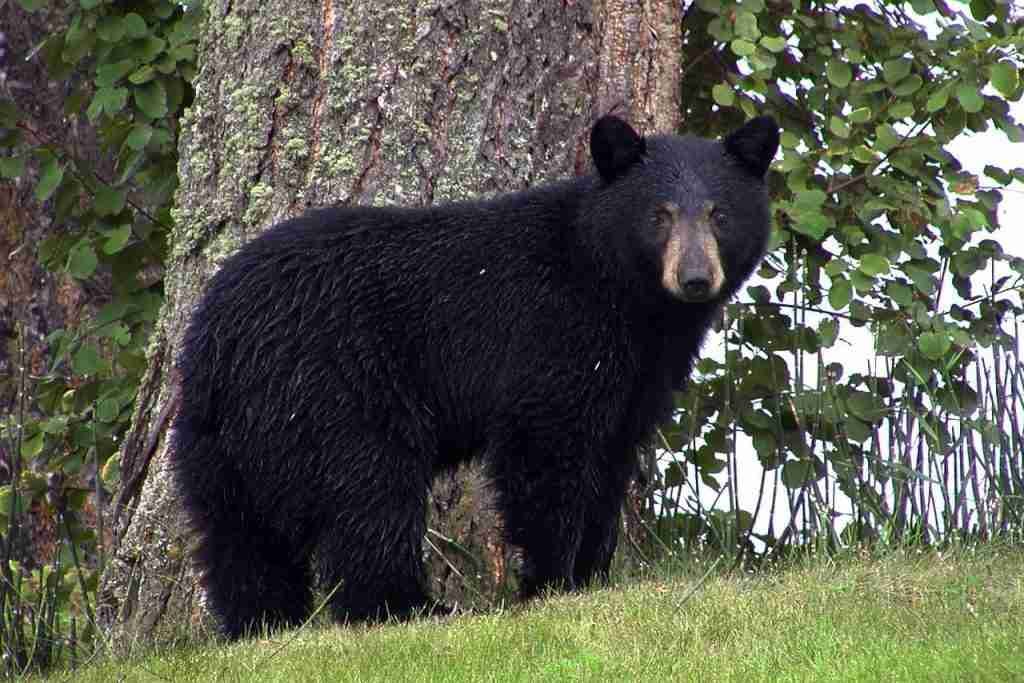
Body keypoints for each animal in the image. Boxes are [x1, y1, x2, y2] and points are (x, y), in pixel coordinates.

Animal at [172, 113, 774, 643]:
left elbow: (611, 459)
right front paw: (551, 583)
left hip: (219, 436)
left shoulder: (639, 376)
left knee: (239, 534)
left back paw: (263, 623)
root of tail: (220, 335)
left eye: (720, 214)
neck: (626, 296)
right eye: (659, 214)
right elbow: (546, 450)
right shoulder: (554, 334)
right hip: (334, 389)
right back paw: (409, 607)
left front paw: (592, 576)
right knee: (369, 495)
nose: (695, 278)